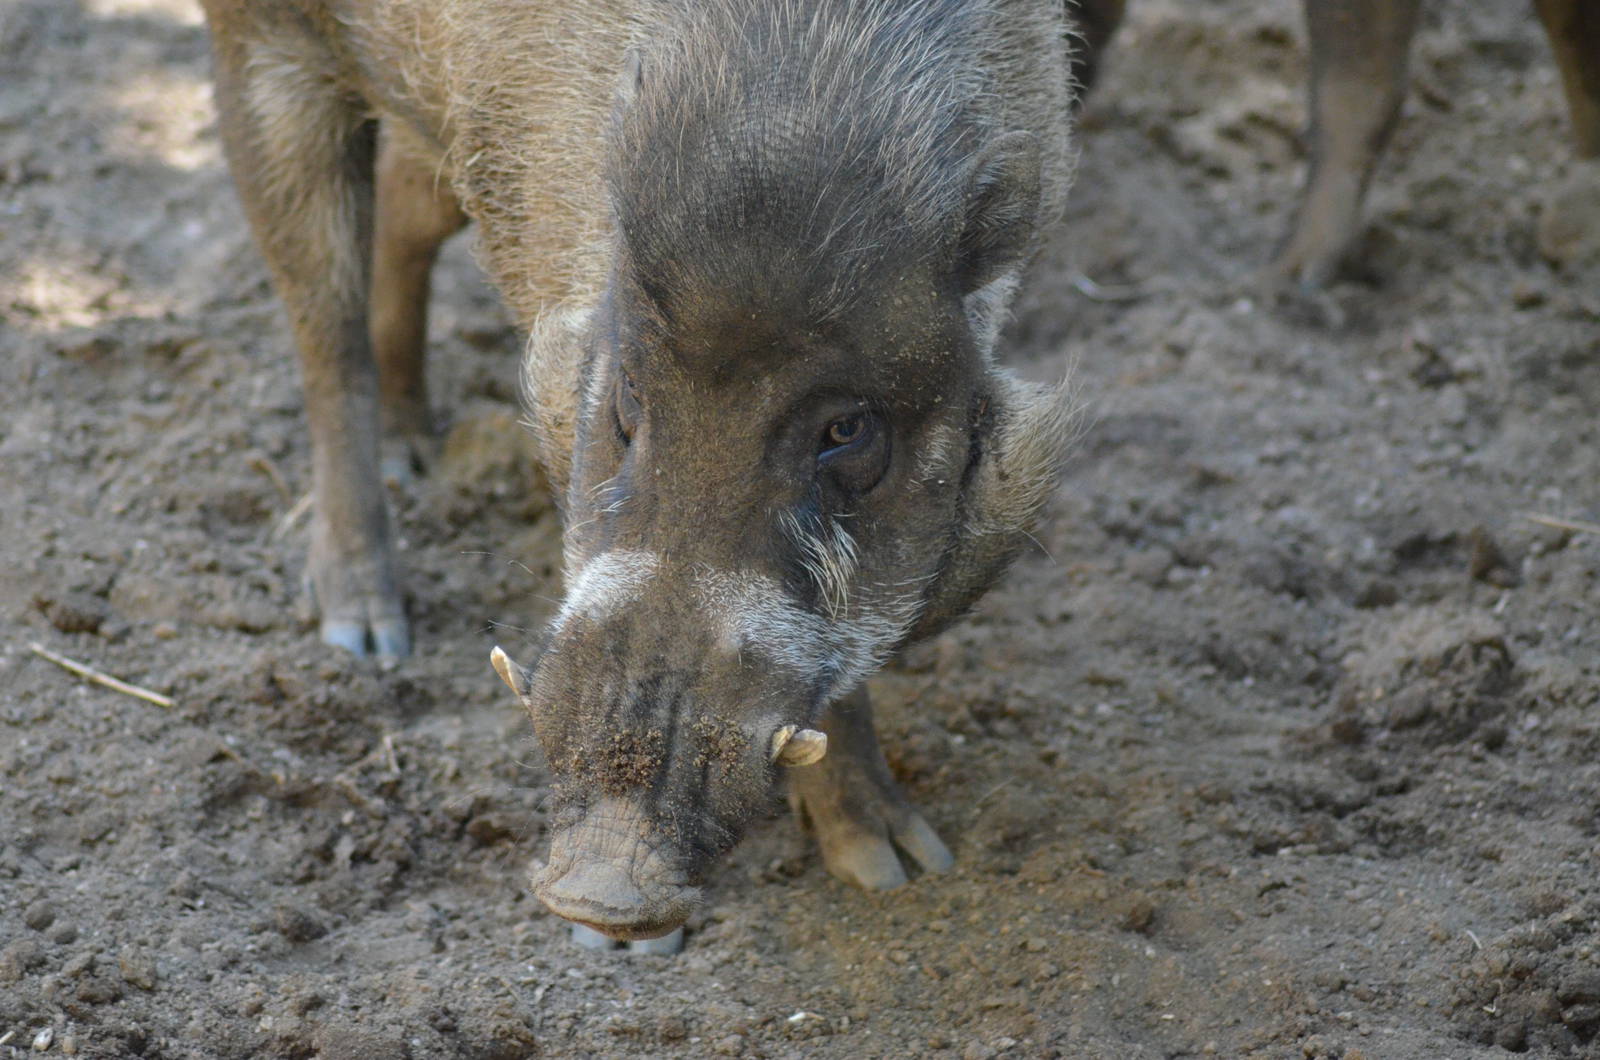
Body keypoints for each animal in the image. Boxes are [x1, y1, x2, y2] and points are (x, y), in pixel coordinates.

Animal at [199, 0, 1080, 946]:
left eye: (847, 430)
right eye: (627, 392)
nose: (603, 893)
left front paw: (901, 873)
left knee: (407, 199)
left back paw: (416, 458)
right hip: (259, 47)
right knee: (325, 330)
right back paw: (363, 635)